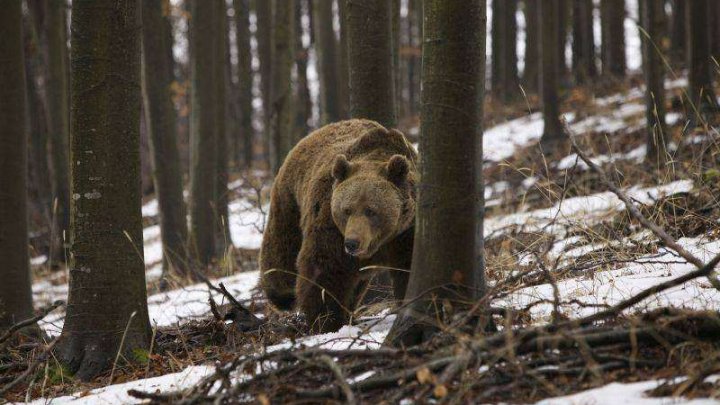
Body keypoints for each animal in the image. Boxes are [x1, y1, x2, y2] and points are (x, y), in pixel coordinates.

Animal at [258, 117, 416, 332]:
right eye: (347, 209)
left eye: (371, 210)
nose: (352, 243)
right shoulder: (330, 224)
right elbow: (327, 271)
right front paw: (326, 320)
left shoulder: (405, 231)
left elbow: (407, 268)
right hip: (289, 202)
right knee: (280, 256)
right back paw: (282, 296)